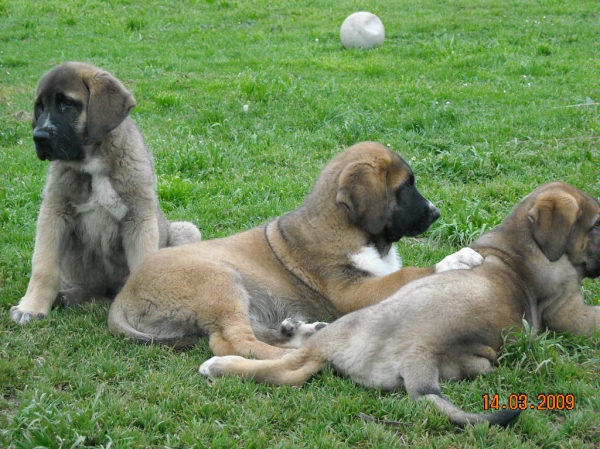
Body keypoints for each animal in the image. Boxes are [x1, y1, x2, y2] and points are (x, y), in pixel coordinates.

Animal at [9, 61, 202, 324]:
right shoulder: (54, 214)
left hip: (187, 231)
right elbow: (43, 266)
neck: (93, 163)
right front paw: (31, 307)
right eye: (39, 106)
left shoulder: (138, 219)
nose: (38, 137)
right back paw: (66, 297)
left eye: (67, 103)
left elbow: (142, 267)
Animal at [109, 142, 482, 358]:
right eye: (406, 187)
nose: (436, 213)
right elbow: (406, 275)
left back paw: (298, 333)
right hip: (218, 281)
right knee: (232, 342)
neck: (352, 229)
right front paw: (454, 260)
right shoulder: (352, 291)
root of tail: (124, 295)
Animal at [200, 183, 600, 428]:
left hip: (349, 328)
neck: (516, 245)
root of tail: (420, 349)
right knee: (288, 365)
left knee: (287, 367)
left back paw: (221, 364)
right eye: (596, 226)